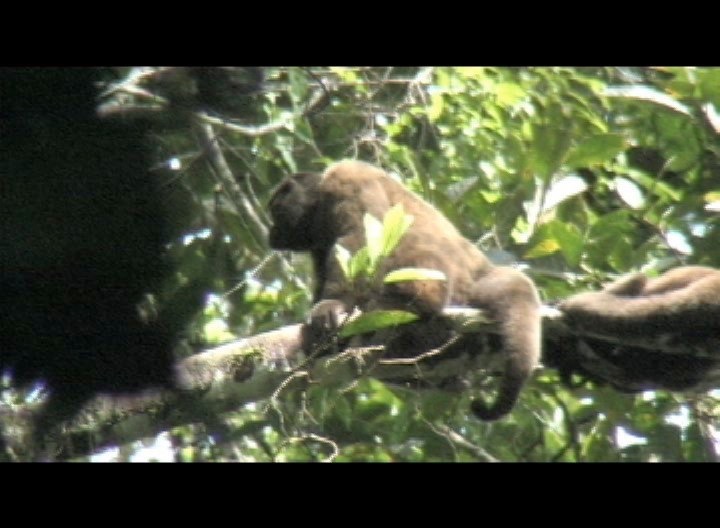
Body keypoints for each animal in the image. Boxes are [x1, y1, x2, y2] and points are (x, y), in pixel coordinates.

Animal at [270, 161, 540, 420]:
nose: (270, 235)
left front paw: (332, 307)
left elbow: (357, 240)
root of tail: (482, 272)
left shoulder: (347, 178)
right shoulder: (318, 240)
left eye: (274, 211)